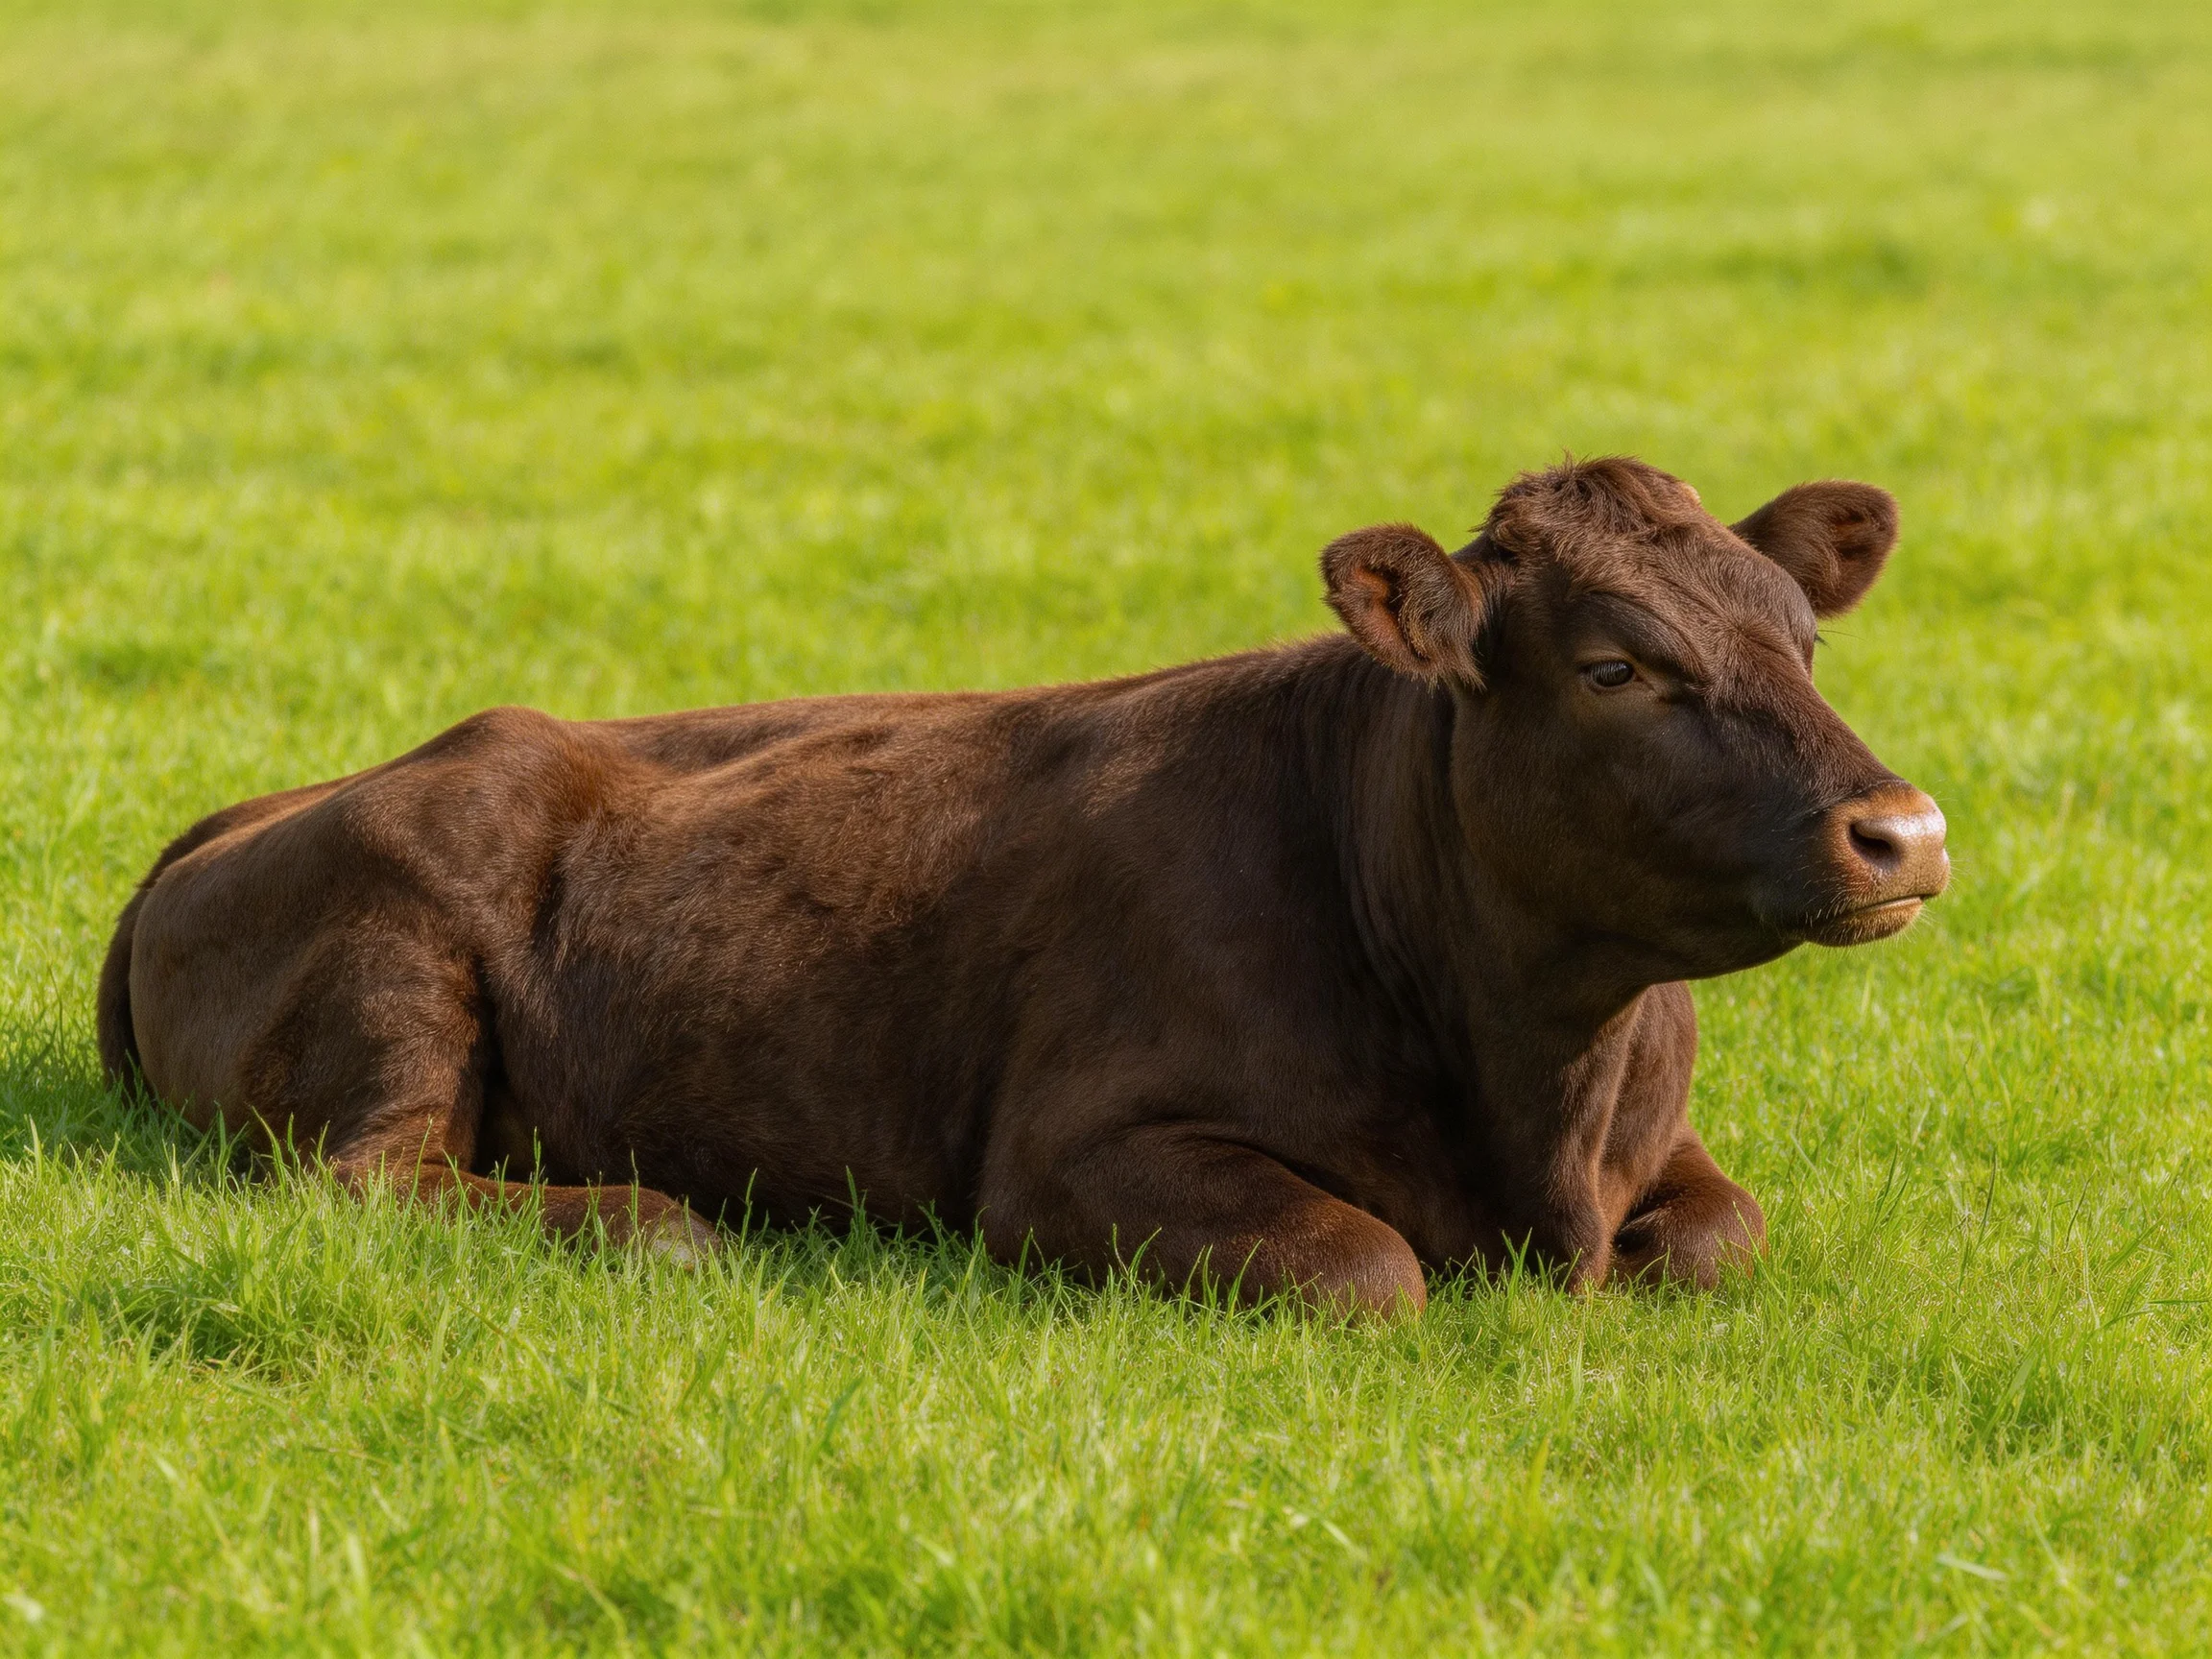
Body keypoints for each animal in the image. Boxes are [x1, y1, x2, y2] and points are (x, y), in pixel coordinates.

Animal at [97, 457, 1948, 1315]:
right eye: (1615, 665)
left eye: (1799, 638)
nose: (1905, 831)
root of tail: (252, 809)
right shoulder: (1069, 1151)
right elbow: (1367, 1267)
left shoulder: (1658, 1152)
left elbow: (1716, 1236)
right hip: (404, 963)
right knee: (372, 1179)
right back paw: (649, 1220)